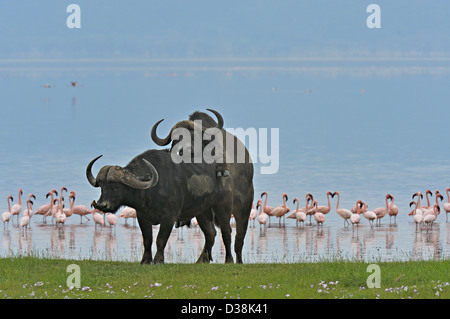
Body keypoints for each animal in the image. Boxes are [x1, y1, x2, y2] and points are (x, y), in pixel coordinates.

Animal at [86, 150, 234, 264]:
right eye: (102, 186)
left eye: (116, 186)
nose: (102, 205)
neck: (150, 191)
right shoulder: (142, 217)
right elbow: (147, 240)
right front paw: (145, 260)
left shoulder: (169, 218)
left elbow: (160, 239)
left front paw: (158, 260)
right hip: (202, 212)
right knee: (210, 234)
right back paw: (202, 260)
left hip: (223, 207)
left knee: (226, 232)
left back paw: (229, 260)